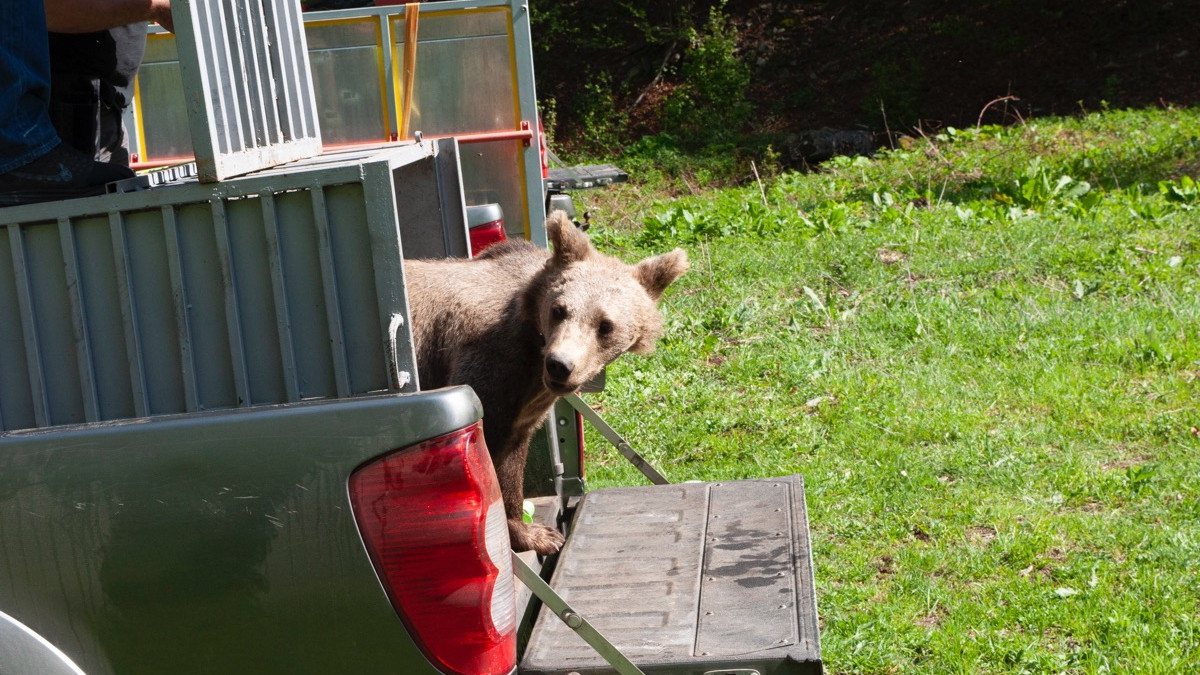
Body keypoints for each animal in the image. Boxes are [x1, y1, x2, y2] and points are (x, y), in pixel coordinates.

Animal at [403, 210, 686, 552]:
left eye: (605, 325)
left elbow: (511, 459)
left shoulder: (525, 403)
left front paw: (532, 532)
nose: (560, 365)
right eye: (559, 309)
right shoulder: (487, 366)